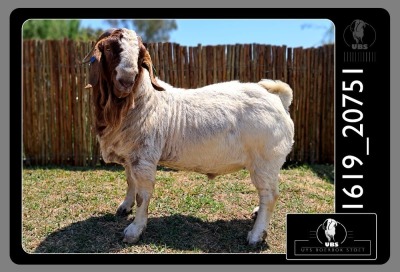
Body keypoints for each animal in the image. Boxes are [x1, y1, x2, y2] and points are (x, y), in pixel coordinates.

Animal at [82, 28, 294, 246]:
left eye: (140, 56)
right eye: (108, 48)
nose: (127, 80)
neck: (142, 101)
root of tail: (279, 99)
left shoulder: (144, 159)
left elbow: (143, 195)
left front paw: (134, 231)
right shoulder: (130, 157)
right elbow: (129, 181)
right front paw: (125, 206)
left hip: (265, 160)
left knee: (270, 195)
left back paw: (256, 235)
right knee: (267, 192)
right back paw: (257, 213)